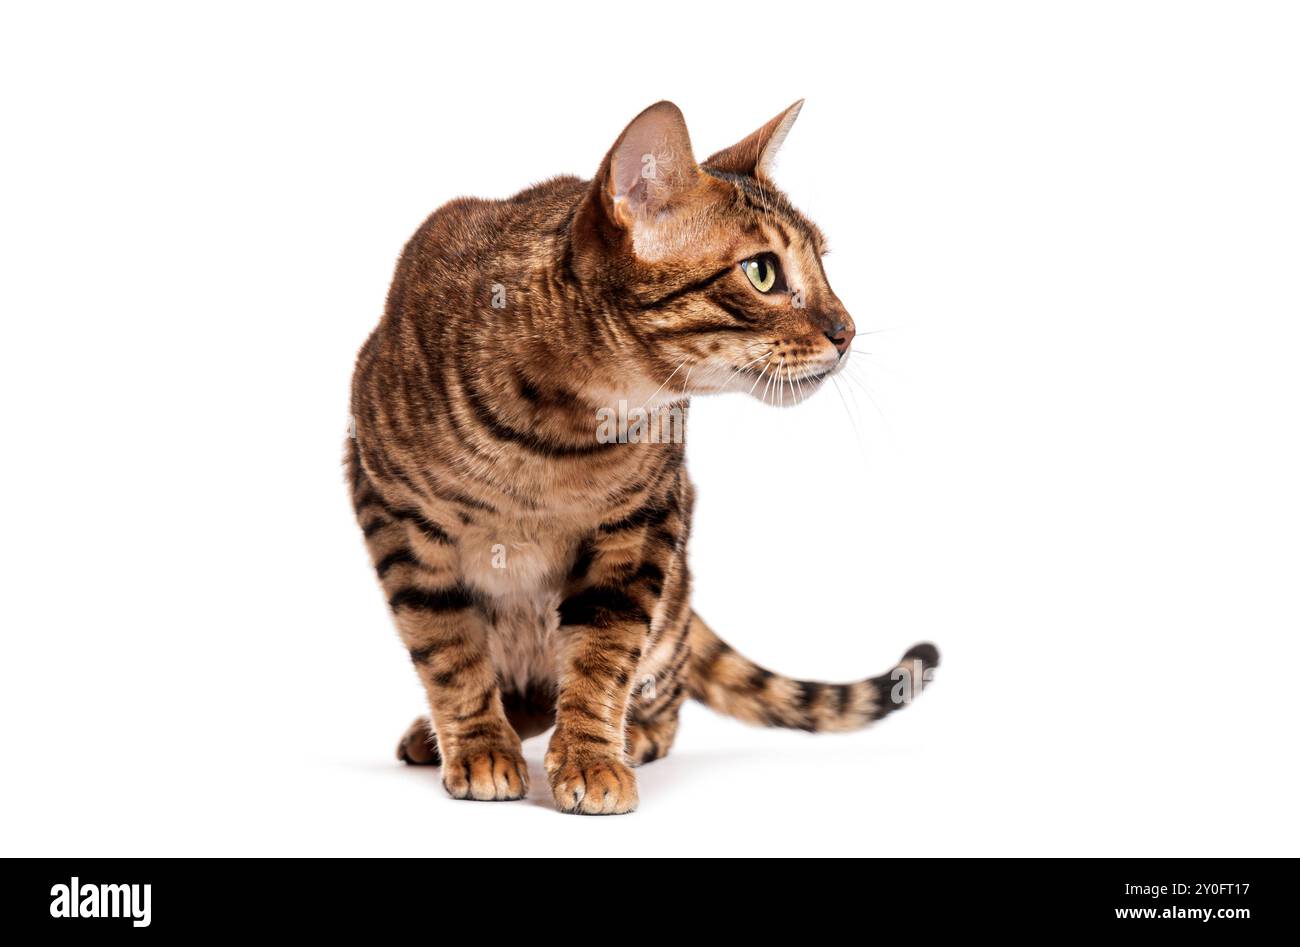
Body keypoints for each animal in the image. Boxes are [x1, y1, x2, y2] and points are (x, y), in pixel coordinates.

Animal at [345, 101, 935, 811]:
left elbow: (604, 654)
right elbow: (447, 647)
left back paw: (633, 733)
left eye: (822, 263)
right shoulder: (391, 508)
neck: (560, 439)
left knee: (657, 692)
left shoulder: (646, 525)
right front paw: (481, 744)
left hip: (672, 602)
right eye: (763, 272)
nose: (847, 330)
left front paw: (591, 757)